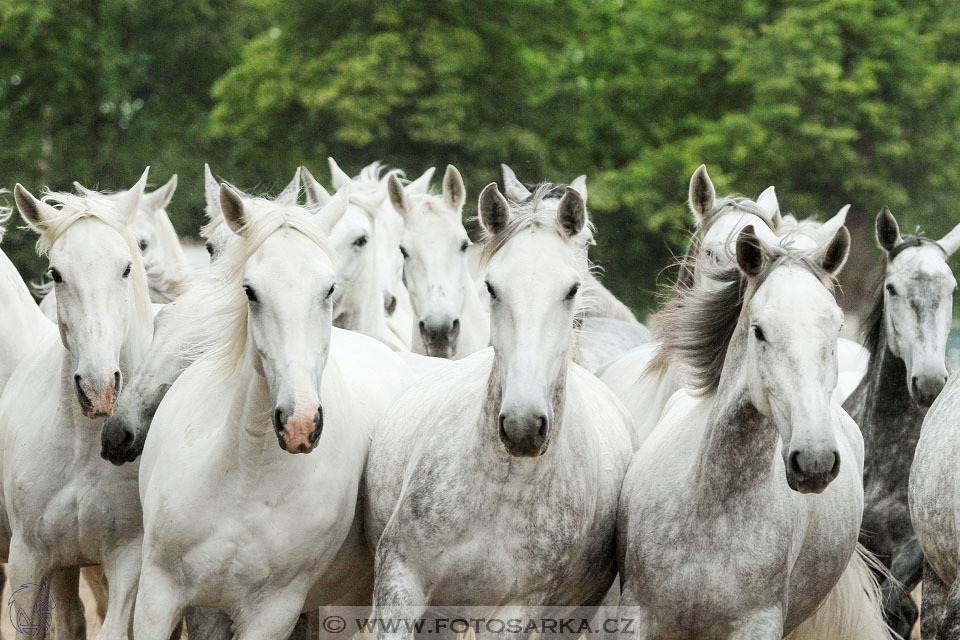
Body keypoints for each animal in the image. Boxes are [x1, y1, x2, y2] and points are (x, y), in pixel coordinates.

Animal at [0, 170, 154, 640]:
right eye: (56, 272)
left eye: (125, 268)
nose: (99, 388)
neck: (84, 447)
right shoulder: (29, 559)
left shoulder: (129, 560)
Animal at [131, 182, 408, 636]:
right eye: (251, 291)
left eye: (328, 289)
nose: (299, 423)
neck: (247, 476)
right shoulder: (161, 596)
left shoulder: (272, 614)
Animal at [364, 182, 632, 632]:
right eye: (491, 287)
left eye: (571, 290)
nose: (523, 426)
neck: (503, 488)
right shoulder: (398, 585)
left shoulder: (515, 611)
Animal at [620, 224, 888, 640]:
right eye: (759, 331)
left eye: (837, 328)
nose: (814, 460)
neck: (709, 511)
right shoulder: (634, 615)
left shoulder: (759, 624)